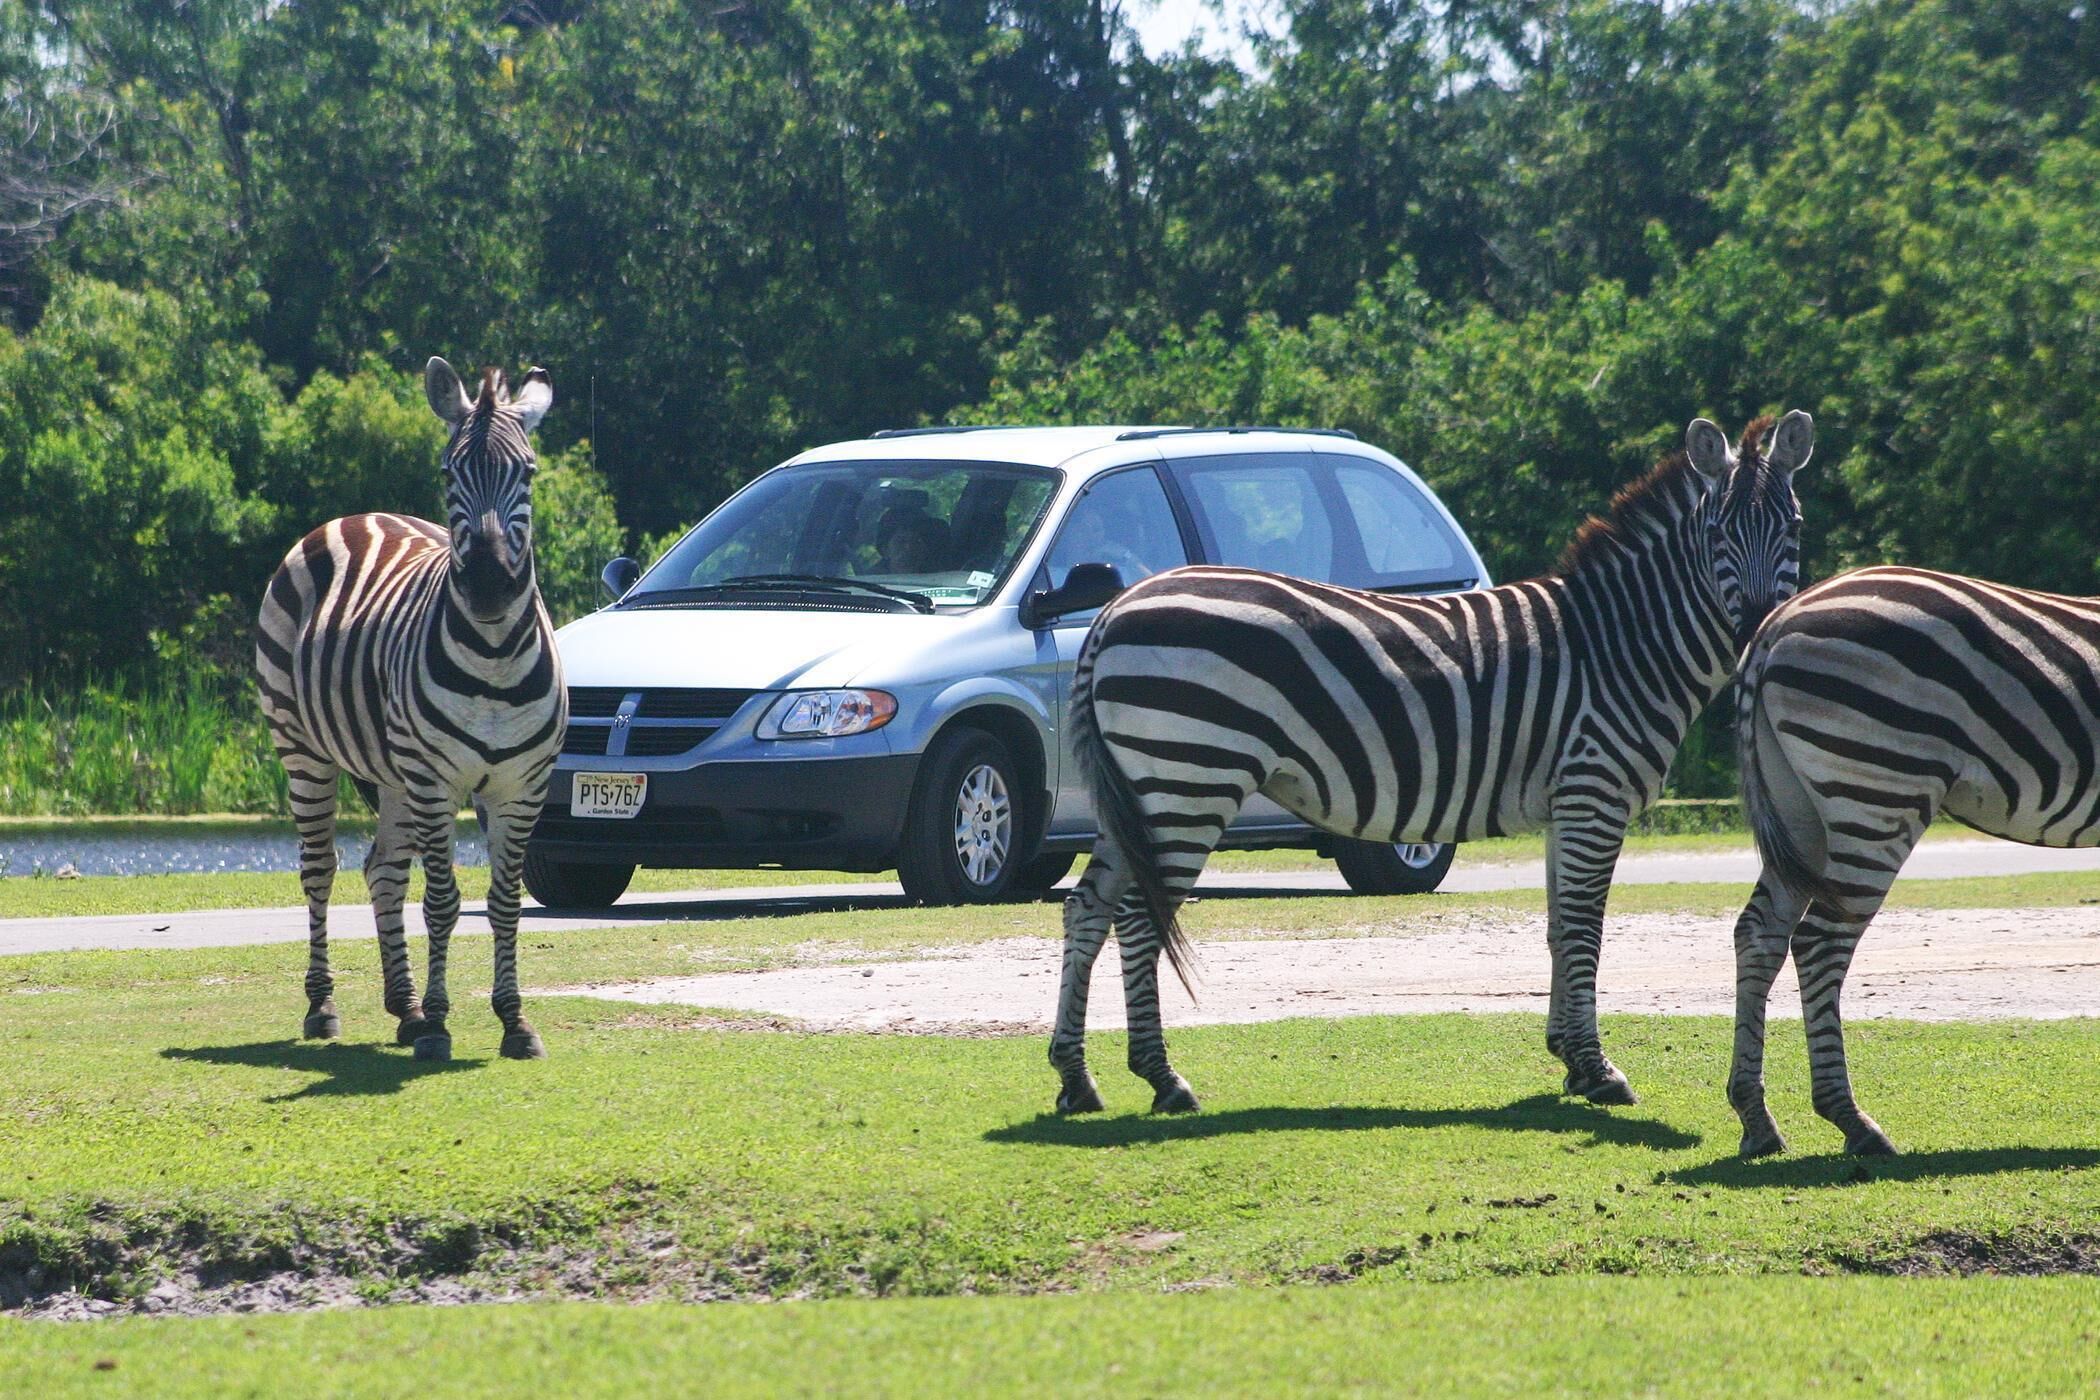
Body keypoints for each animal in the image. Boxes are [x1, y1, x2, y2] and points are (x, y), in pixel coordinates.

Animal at [254, 357, 566, 1062]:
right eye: (449, 474)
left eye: (529, 471)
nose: (488, 586)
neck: (496, 657)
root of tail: (355, 515)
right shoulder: (435, 779)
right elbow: (444, 901)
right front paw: (444, 1024)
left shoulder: (521, 786)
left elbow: (505, 900)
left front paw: (512, 1020)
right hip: (305, 750)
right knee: (321, 869)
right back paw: (325, 1007)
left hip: (393, 772)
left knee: (383, 872)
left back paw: (406, 1009)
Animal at [1049, 410, 1816, 1116]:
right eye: (1718, 534)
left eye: (1794, 528)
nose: (1755, 632)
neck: (1623, 643)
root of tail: (1115, 606)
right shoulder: (1594, 794)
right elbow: (1584, 927)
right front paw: (1598, 1071)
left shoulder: (1566, 806)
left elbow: (1558, 926)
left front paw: (1569, 1059)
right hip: (1186, 782)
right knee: (1138, 917)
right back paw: (1162, 1078)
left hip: (1142, 792)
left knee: (1088, 908)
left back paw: (1076, 1078)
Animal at [1728, 565, 2100, 1157]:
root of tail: (1776, 623)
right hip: (1879, 788)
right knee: (1820, 941)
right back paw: (1853, 1121)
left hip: (1800, 811)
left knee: (1759, 933)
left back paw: (1756, 1119)